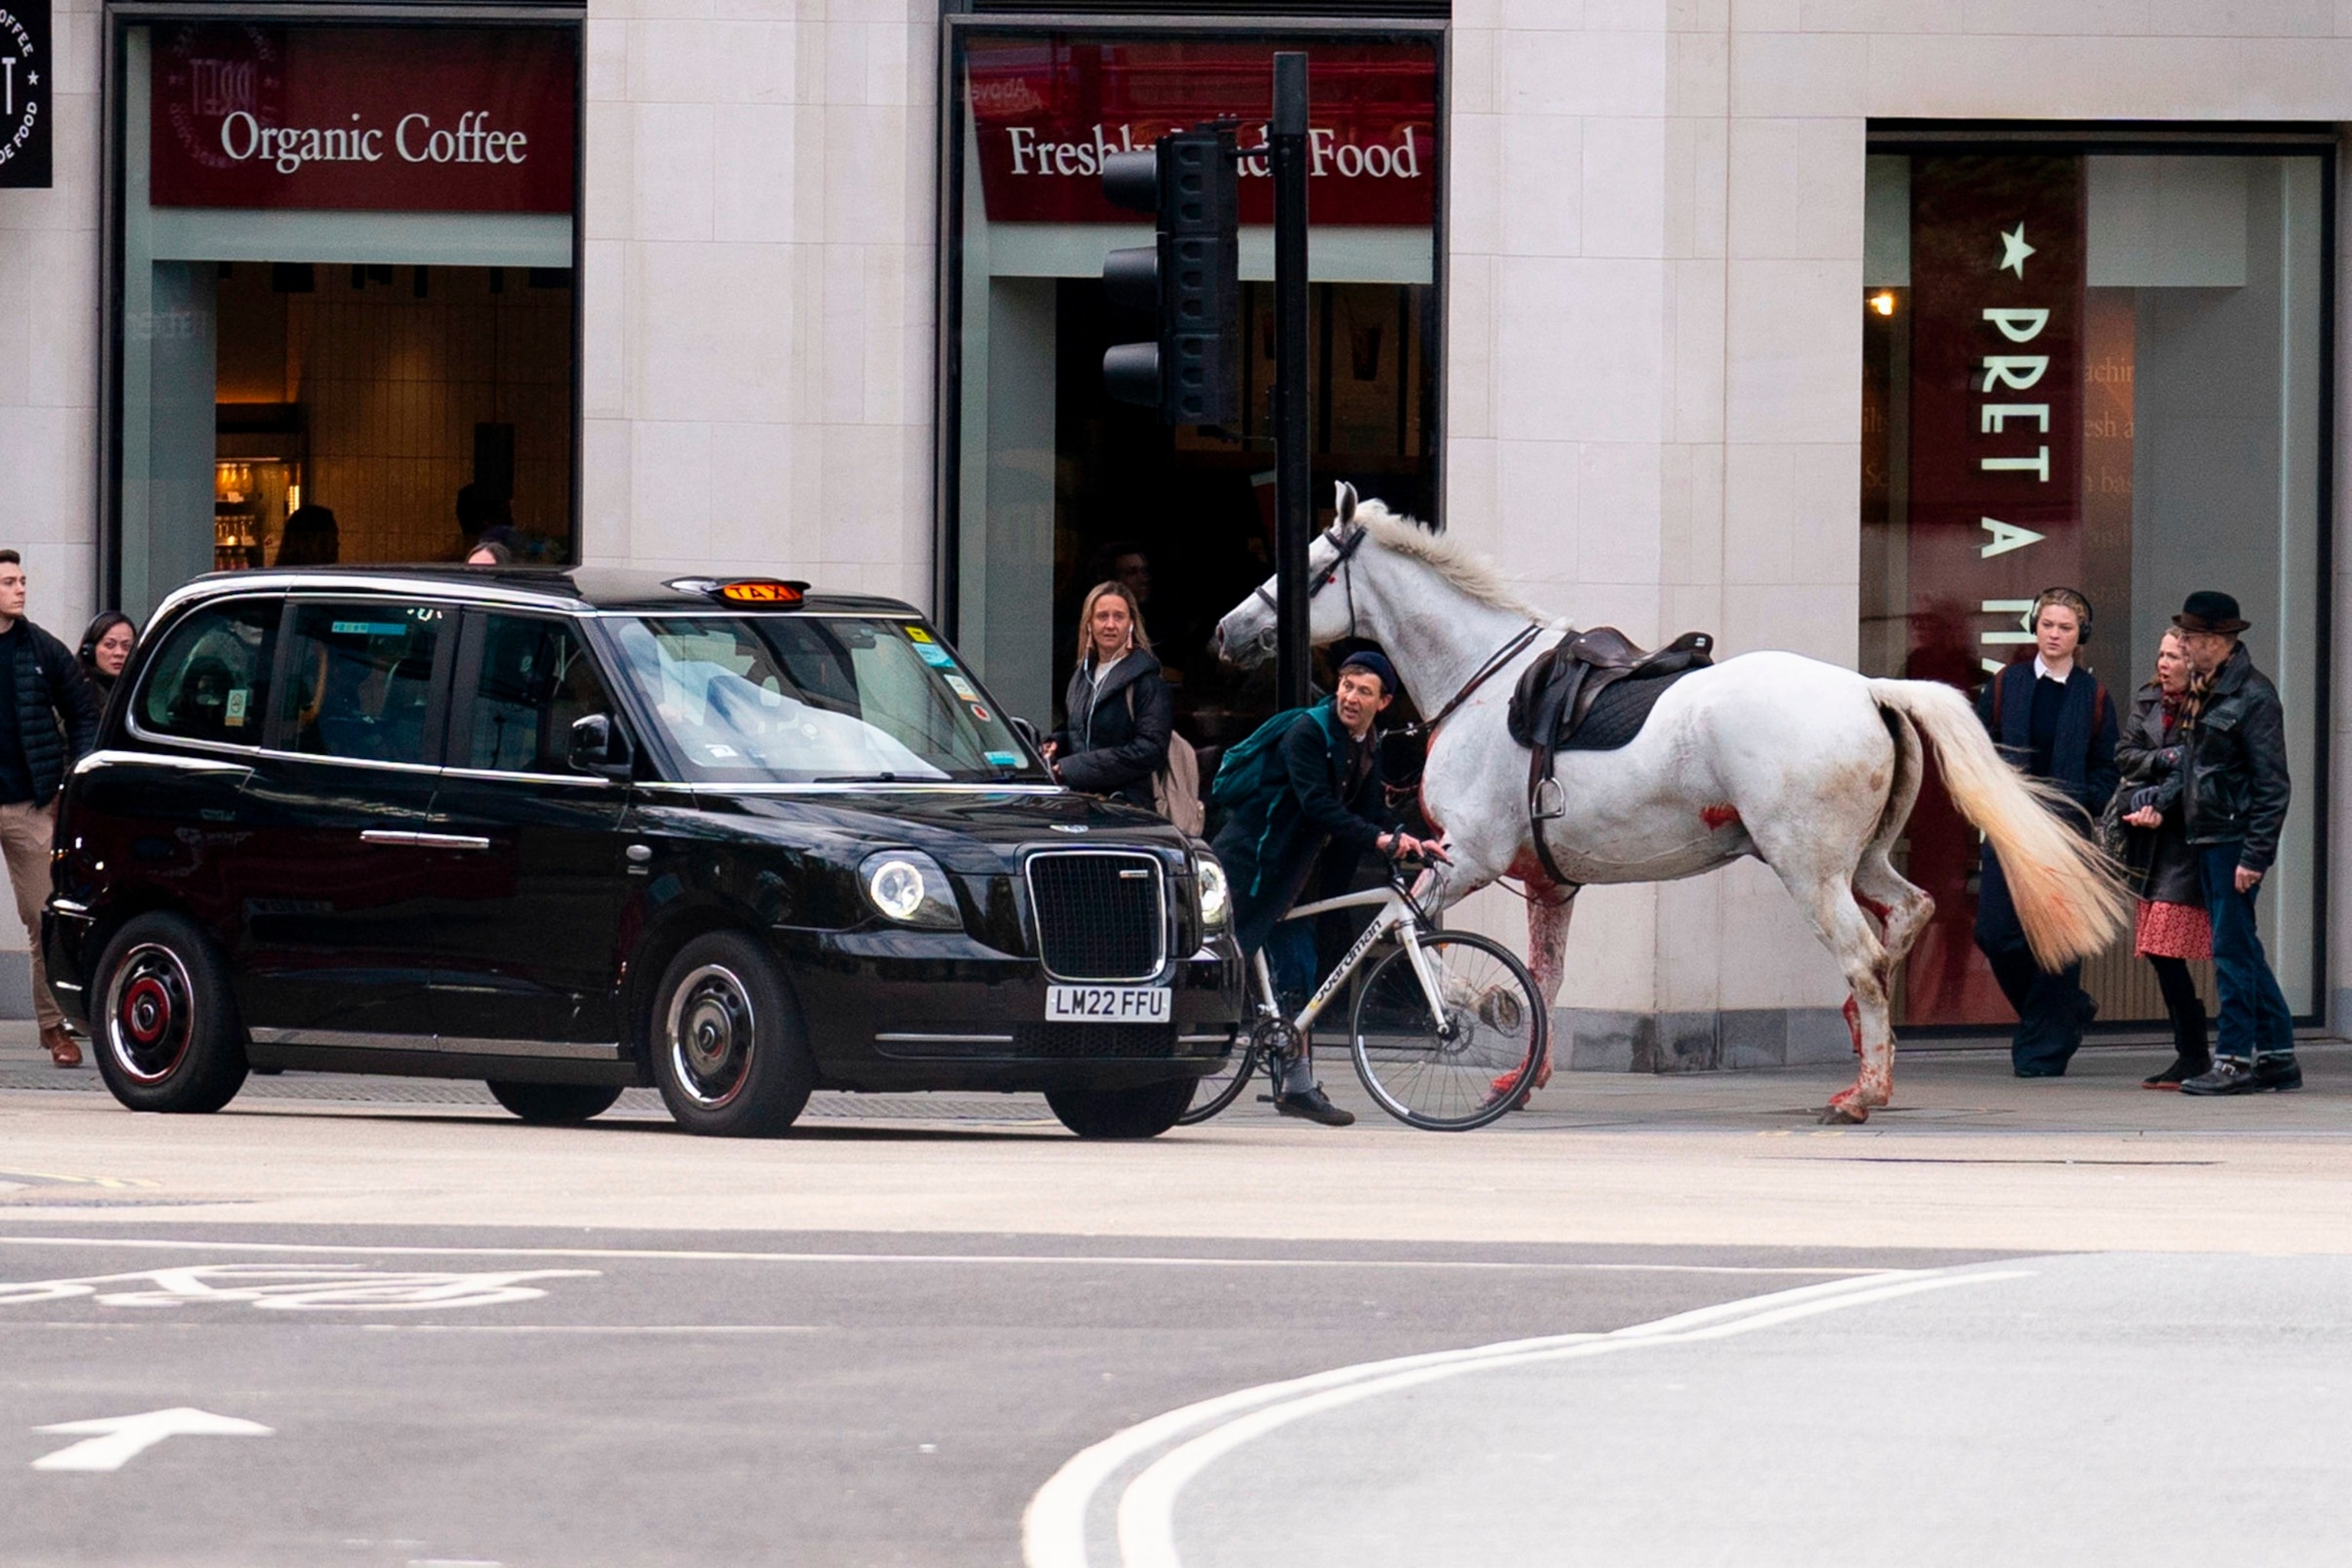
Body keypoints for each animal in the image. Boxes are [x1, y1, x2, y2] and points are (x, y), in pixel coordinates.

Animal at [1214, 484, 2135, 1123]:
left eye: (1308, 568)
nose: (1228, 631)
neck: (1481, 679)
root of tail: (1870, 688)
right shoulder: (1547, 884)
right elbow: (1544, 976)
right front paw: (1525, 1069)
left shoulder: (1462, 858)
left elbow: (1416, 948)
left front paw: (1475, 1013)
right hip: (1861, 862)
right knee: (1909, 915)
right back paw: (1862, 1044)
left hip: (1809, 871)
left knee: (1865, 958)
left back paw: (1862, 1091)